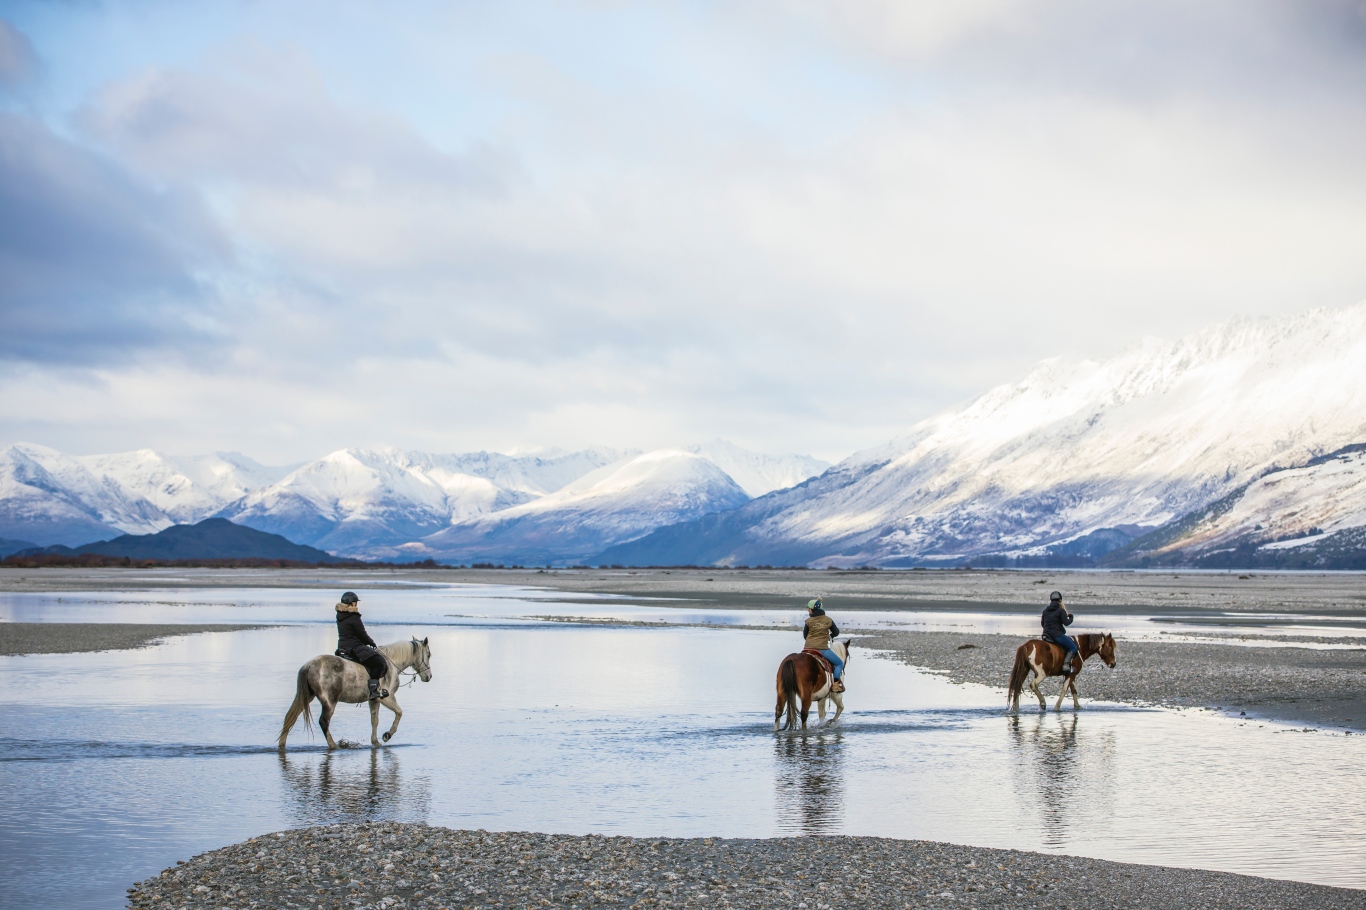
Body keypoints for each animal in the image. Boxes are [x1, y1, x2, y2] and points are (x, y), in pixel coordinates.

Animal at [278, 637, 432, 750]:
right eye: (429, 655)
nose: (429, 677)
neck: (391, 663)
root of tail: (309, 665)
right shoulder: (386, 698)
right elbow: (399, 712)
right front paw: (387, 735)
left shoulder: (374, 700)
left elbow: (374, 720)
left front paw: (375, 742)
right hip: (330, 701)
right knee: (324, 722)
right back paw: (334, 745)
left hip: (307, 696)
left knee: (290, 717)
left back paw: (282, 744)